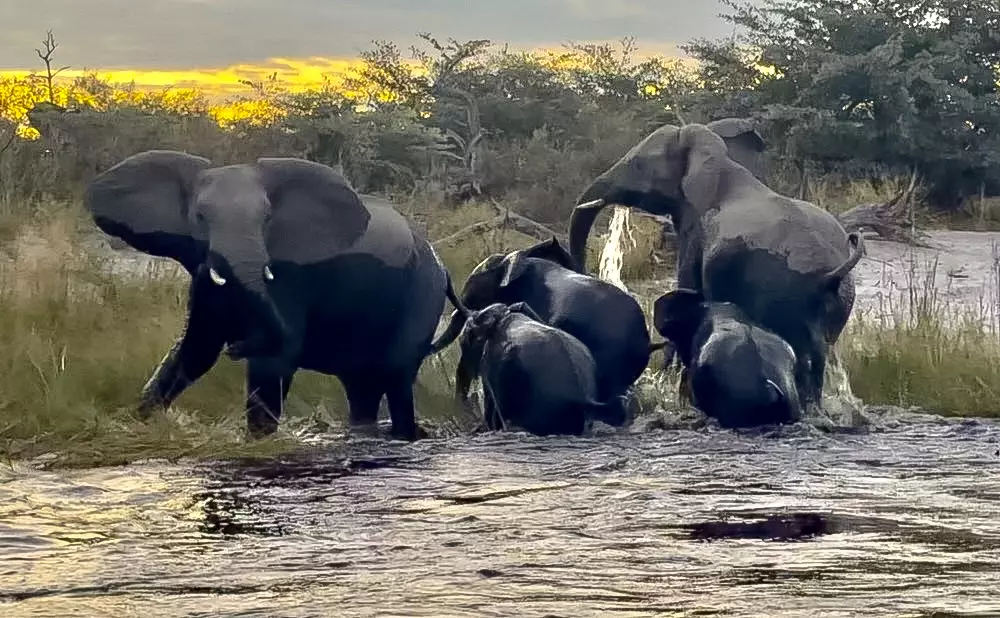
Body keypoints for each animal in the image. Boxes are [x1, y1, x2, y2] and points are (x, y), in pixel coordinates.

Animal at [84, 149, 457, 440]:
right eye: (200, 218)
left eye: (267, 220)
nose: (236, 347)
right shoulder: (204, 278)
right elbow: (194, 351)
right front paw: (136, 422)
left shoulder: (291, 278)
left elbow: (274, 360)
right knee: (361, 387)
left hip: (423, 292)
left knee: (396, 375)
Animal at [567, 122, 868, 409]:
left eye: (639, 165)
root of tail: (828, 274)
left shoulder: (694, 230)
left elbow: (688, 287)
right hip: (840, 300)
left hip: (784, 294)